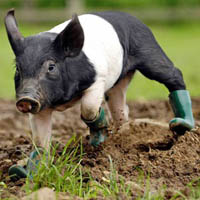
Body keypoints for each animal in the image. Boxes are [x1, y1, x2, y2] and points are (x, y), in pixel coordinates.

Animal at [5, 9, 195, 152]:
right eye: (18, 69)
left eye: (51, 67)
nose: (25, 99)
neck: (63, 100)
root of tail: (133, 18)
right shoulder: (42, 105)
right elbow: (40, 140)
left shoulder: (98, 80)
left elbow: (89, 109)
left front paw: (97, 143)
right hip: (119, 82)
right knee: (120, 106)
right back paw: (121, 136)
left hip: (150, 51)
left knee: (174, 75)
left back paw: (180, 125)